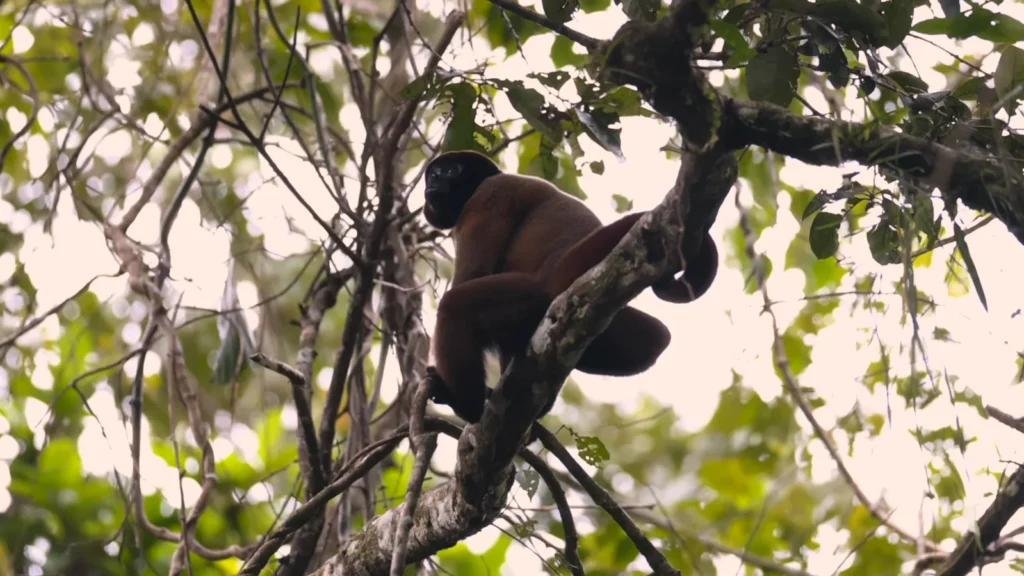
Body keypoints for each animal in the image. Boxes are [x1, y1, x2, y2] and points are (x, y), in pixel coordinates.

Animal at [421, 150, 718, 425]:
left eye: (450, 170)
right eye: (432, 173)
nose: (433, 180)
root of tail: (565, 265)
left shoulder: (489, 195)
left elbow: (473, 274)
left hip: (534, 293)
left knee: (455, 305)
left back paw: (465, 406)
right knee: (655, 340)